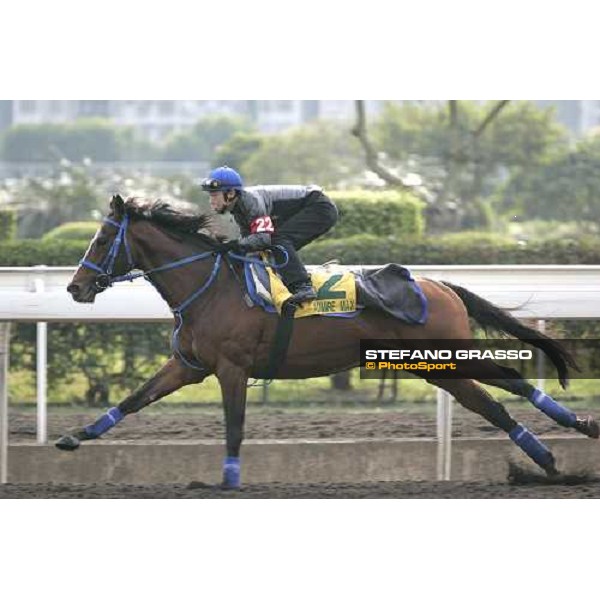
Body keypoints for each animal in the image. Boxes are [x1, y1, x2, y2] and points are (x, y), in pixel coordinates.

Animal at [55, 197, 596, 488]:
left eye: (100, 240)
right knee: (494, 406)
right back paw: (547, 460)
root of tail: (441, 285)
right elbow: (133, 399)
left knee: (512, 383)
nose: (75, 288)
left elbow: (234, 427)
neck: (210, 286)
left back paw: (579, 428)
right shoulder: (189, 365)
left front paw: (228, 479)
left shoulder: (231, 368)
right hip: (433, 367)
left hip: (448, 355)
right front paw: (73, 436)